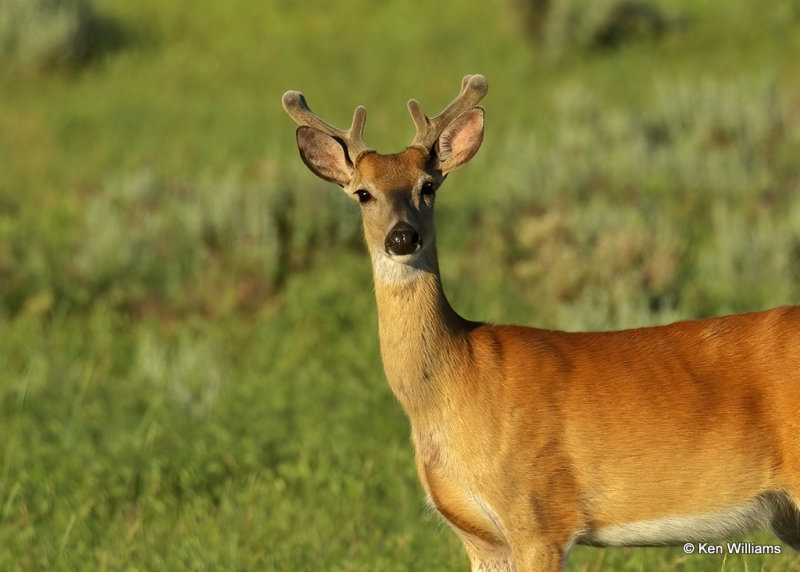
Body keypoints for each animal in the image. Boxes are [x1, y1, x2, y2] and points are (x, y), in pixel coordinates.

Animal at [282, 76, 800, 572]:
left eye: (428, 186)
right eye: (362, 194)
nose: (402, 237)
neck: (457, 381)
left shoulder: (540, 514)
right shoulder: (480, 537)